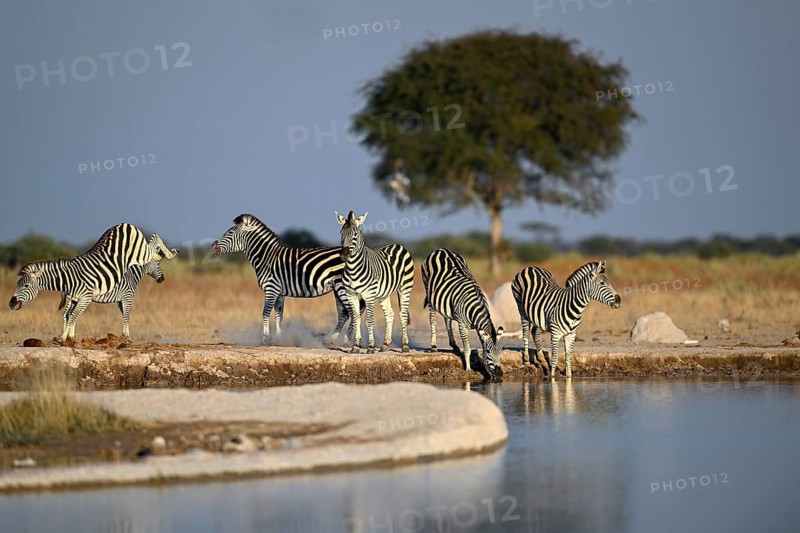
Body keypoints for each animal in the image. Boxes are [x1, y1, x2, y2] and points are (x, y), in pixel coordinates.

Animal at [8, 223, 177, 342]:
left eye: (25, 286)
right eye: (21, 285)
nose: (11, 303)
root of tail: (123, 224)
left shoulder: (114, 299)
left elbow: (124, 315)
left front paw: (67, 337)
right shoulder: (124, 297)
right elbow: (125, 315)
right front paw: (65, 338)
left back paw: (167, 253)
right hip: (139, 248)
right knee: (153, 241)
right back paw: (167, 253)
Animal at [210, 214, 357, 342]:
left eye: (230, 233)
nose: (212, 247)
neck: (266, 258)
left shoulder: (271, 288)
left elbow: (265, 313)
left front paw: (265, 339)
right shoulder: (279, 292)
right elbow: (278, 315)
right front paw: (280, 338)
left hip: (341, 287)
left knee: (352, 312)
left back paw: (345, 340)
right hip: (337, 289)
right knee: (344, 314)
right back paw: (332, 339)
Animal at [335, 210, 414, 354]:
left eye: (355, 234)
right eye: (341, 233)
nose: (344, 256)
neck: (353, 269)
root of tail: (395, 244)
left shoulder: (369, 296)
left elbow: (369, 321)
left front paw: (370, 347)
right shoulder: (351, 295)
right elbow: (356, 319)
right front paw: (355, 346)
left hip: (405, 287)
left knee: (403, 315)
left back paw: (405, 346)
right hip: (384, 294)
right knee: (390, 314)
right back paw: (385, 344)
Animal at [421, 248, 504, 379]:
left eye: (501, 351)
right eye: (489, 351)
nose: (500, 374)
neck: (474, 309)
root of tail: (441, 249)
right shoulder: (462, 325)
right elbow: (467, 348)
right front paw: (468, 369)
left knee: (447, 319)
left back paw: (454, 345)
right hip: (429, 293)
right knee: (432, 319)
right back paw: (433, 346)